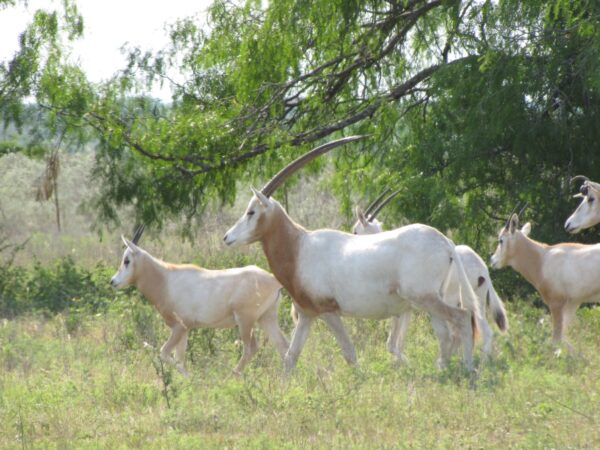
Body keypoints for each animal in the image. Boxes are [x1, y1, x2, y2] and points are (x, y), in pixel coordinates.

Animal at [113, 225, 292, 376]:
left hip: (245, 322)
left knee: (251, 349)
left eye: (127, 260)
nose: (113, 281)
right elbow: (179, 359)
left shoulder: (180, 327)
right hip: (266, 318)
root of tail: (273, 280)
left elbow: (164, 353)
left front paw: (191, 378)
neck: (166, 278)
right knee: (284, 346)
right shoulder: (184, 330)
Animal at [352, 190, 506, 366]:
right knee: (477, 332)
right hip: (476, 302)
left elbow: (392, 344)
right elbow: (398, 342)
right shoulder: (408, 309)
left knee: (466, 330)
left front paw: (404, 364)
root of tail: (483, 269)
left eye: (355, 231)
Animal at [490, 211, 600, 352]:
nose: (493, 260)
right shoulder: (573, 303)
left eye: (501, 240)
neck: (543, 258)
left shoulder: (556, 304)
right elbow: (565, 340)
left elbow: (556, 340)